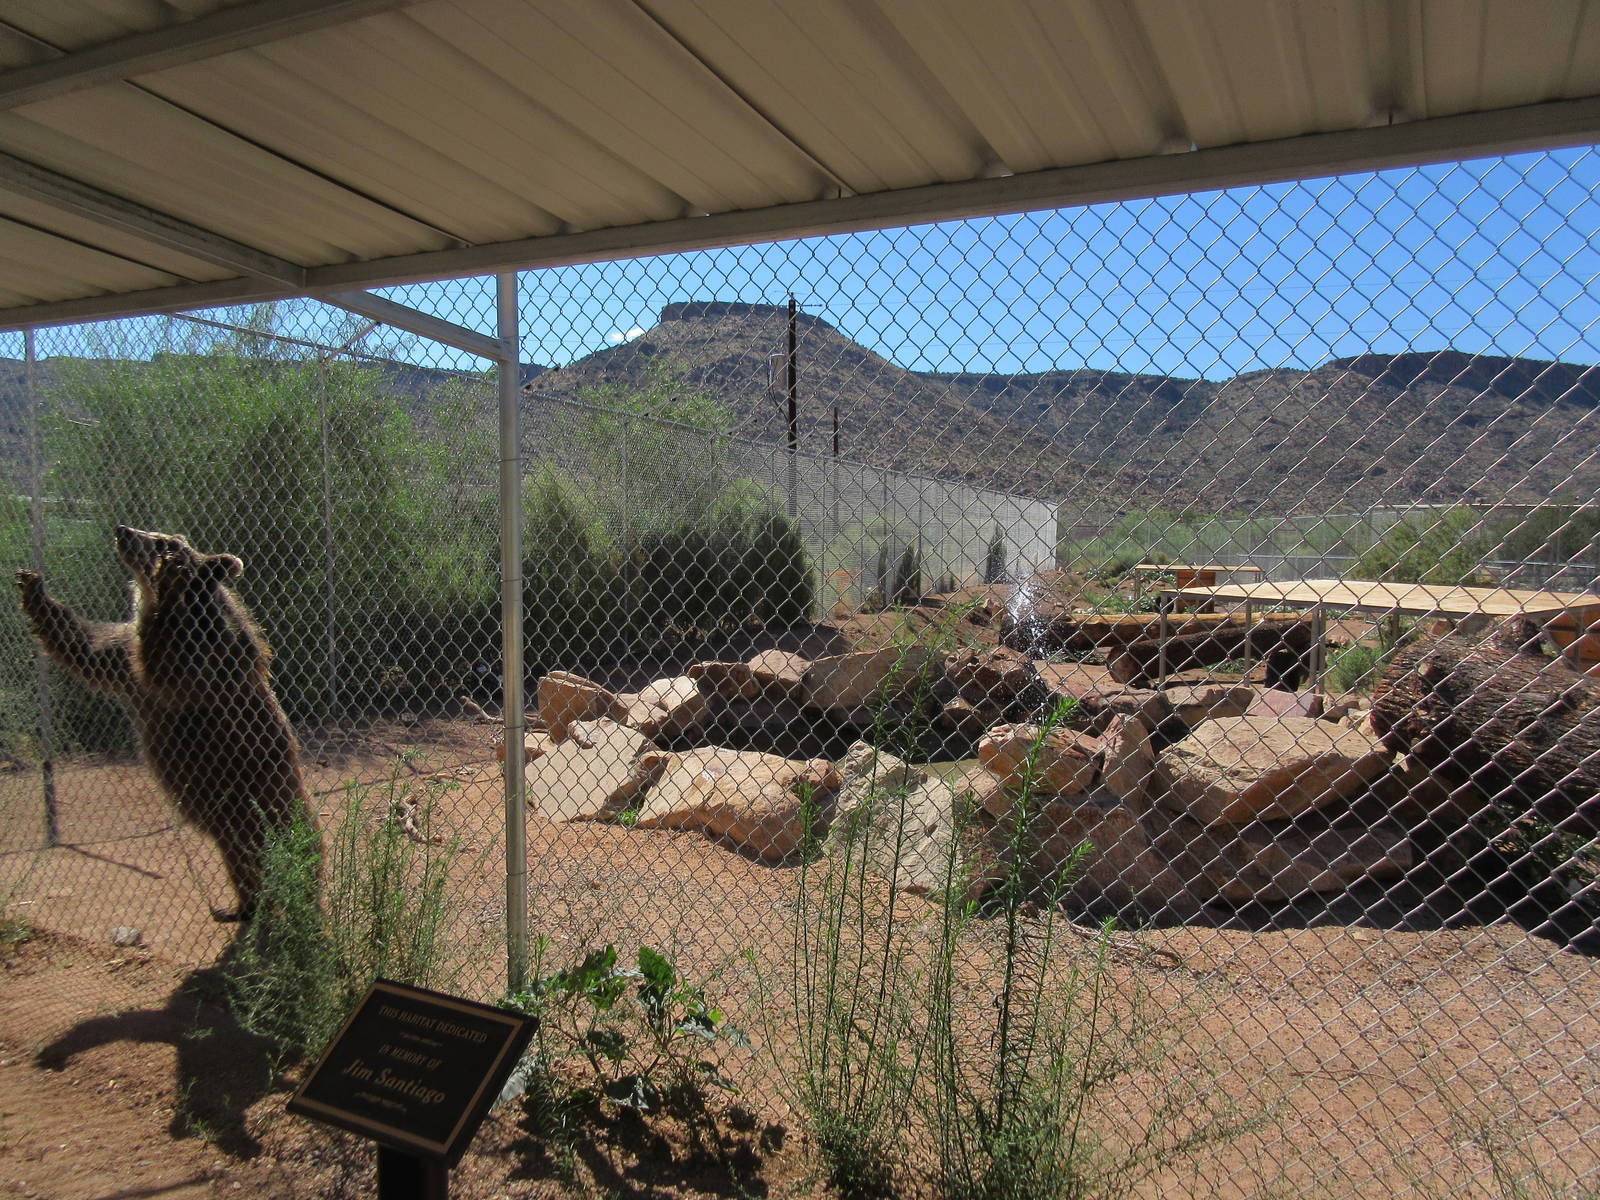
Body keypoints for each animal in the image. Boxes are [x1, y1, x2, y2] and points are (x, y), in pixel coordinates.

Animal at [15, 525, 316, 922]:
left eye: (162, 540)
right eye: (153, 533)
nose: (123, 530)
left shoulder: (208, 662)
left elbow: (172, 663)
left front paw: (171, 579)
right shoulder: (125, 662)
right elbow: (86, 647)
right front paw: (32, 586)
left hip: (264, 799)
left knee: (291, 858)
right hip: (233, 823)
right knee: (241, 863)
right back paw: (240, 907)